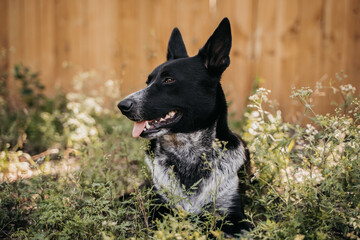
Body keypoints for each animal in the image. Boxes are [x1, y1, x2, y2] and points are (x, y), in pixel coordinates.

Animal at [117, 18, 250, 234]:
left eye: (169, 79)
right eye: (148, 81)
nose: (122, 106)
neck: (187, 152)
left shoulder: (235, 216)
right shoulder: (158, 207)